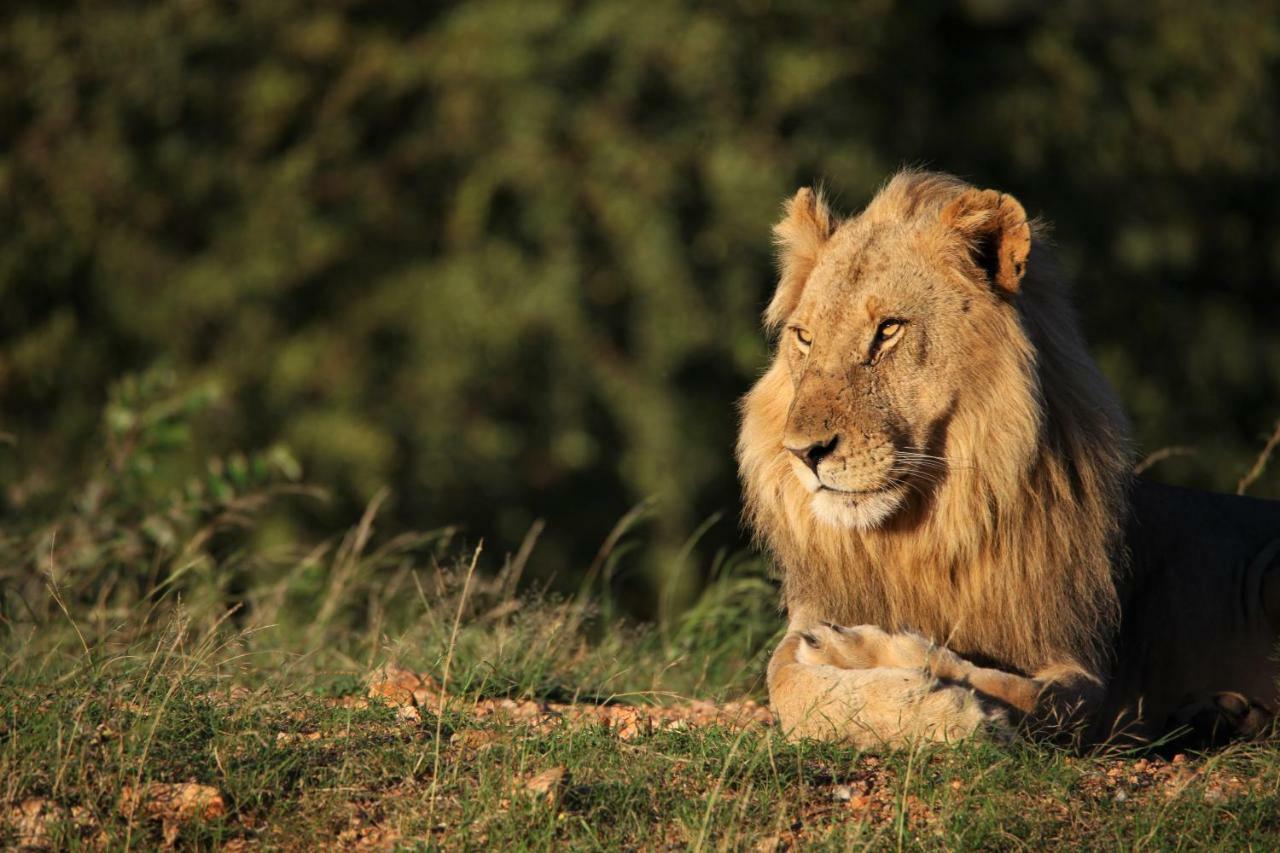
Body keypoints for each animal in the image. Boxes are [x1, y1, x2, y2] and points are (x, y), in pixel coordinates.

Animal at [742, 171, 1280, 742]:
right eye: (805, 338)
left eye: (888, 329)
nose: (803, 453)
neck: (922, 534)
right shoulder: (806, 621)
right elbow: (786, 682)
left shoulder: (1086, 672)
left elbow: (1020, 688)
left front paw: (935, 704)